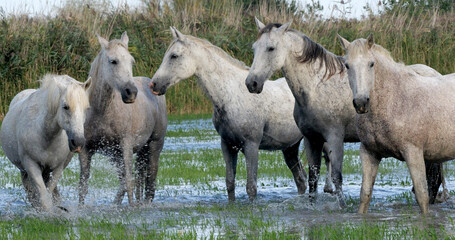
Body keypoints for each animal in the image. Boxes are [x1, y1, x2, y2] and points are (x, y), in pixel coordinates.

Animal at [78, 31, 167, 204]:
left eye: (131, 61)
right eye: (113, 61)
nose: (131, 92)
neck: (101, 112)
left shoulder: (126, 146)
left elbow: (130, 184)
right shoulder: (86, 151)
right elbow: (83, 187)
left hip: (154, 146)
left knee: (149, 183)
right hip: (118, 155)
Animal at [338, 34, 455, 214]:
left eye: (371, 64)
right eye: (347, 65)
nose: (361, 103)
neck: (395, 99)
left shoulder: (413, 153)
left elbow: (422, 196)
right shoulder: (369, 153)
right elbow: (365, 195)